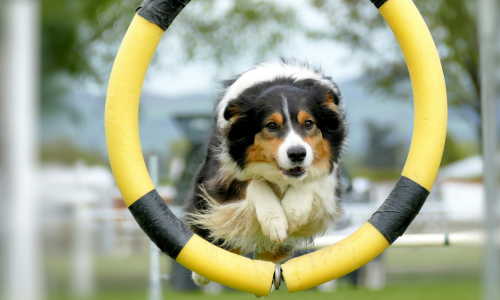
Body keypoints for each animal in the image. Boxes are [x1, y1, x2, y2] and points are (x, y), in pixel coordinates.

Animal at [186, 58, 346, 286]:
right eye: (271, 126)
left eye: (309, 124)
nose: (297, 154)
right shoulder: (223, 175)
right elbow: (254, 183)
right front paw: (276, 222)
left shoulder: (330, 177)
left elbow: (313, 178)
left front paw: (292, 213)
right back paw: (201, 273)